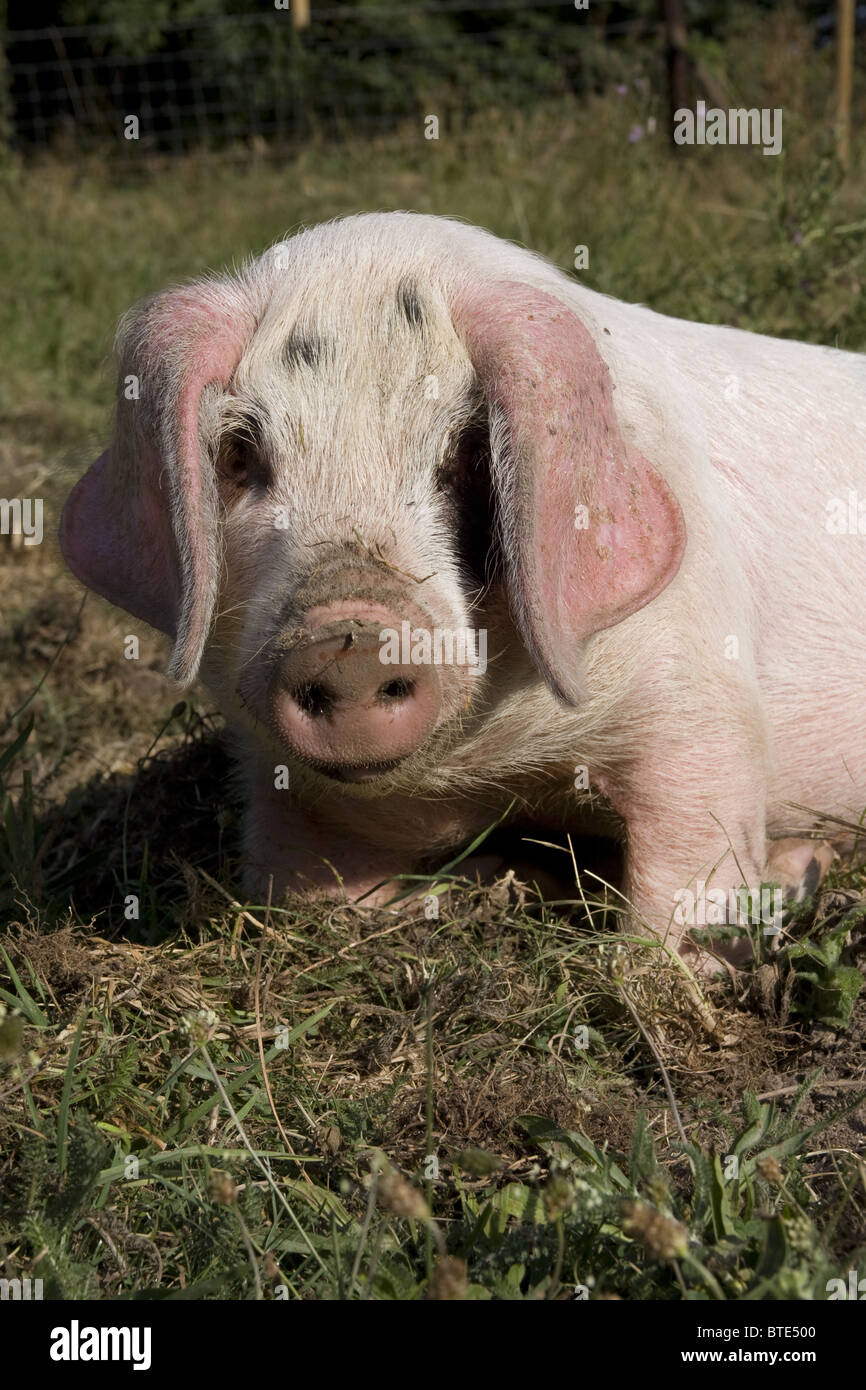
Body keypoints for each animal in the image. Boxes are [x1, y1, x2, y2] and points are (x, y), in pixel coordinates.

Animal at [59, 211, 866, 973]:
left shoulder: (700, 699)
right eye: (239, 456)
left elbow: (683, 882)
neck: (492, 773)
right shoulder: (286, 783)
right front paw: (507, 885)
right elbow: (308, 895)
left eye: (467, 457)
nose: (349, 640)